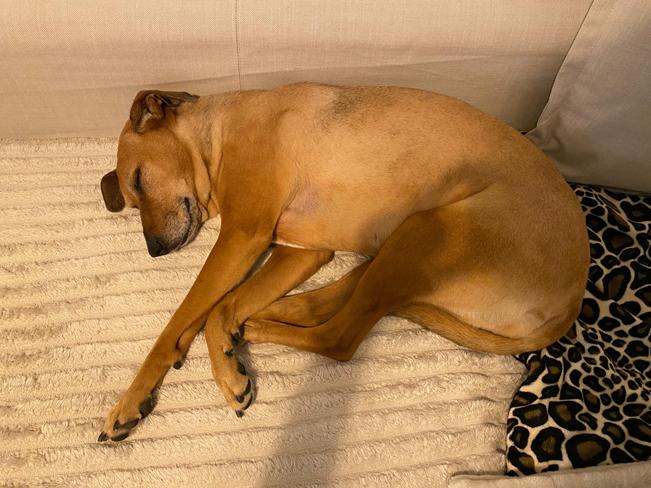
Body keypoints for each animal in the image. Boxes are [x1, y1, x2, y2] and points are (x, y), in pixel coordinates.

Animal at [98, 83, 589, 442]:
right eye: (132, 196)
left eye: (138, 180)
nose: (154, 250)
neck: (216, 133)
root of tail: (570, 303)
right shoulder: (300, 251)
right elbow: (210, 309)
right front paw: (216, 347)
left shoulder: (242, 236)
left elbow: (180, 319)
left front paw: (136, 399)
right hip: (395, 246)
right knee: (332, 303)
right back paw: (265, 315)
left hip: (422, 230)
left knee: (339, 338)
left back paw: (257, 325)